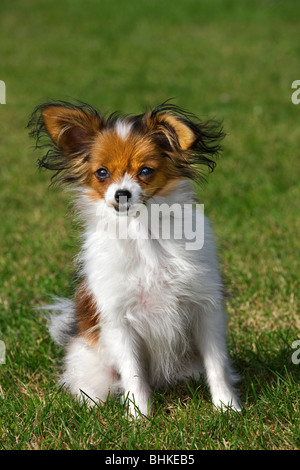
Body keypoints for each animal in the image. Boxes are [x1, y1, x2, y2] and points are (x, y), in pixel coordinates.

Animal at [29, 101, 240, 416]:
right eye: (102, 173)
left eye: (146, 171)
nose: (122, 194)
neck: (142, 230)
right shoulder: (119, 321)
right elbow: (134, 374)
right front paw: (140, 417)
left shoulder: (205, 308)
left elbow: (217, 365)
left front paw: (228, 408)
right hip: (95, 371)